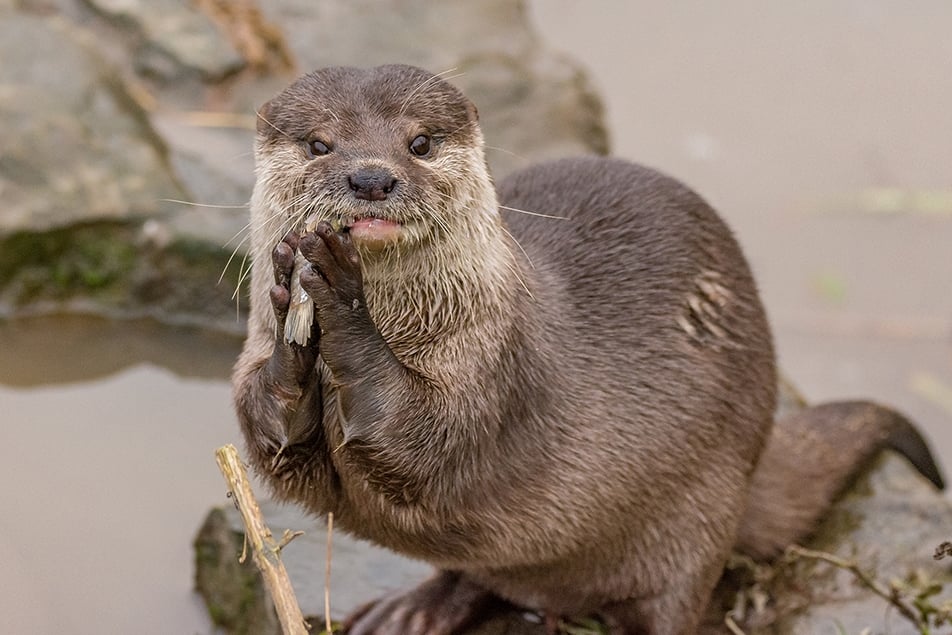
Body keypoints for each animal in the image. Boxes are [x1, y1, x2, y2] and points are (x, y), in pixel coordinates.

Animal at [232, 64, 944, 634]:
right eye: (319, 143)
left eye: (420, 143)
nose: (371, 177)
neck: (430, 322)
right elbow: (272, 441)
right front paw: (291, 338)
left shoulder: (496, 374)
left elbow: (423, 439)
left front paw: (340, 297)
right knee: (482, 571)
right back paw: (410, 610)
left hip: (698, 519)